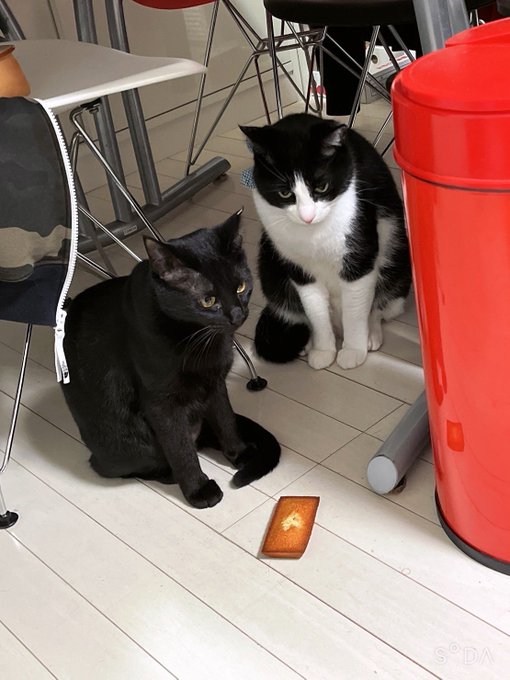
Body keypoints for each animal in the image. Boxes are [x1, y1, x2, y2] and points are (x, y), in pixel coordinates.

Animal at [61, 212, 280, 509]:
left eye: (241, 287)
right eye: (208, 300)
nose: (237, 315)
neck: (197, 340)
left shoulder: (215, 383)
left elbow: (226, 419)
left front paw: (239, 454)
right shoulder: (161, 403)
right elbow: (179, 447)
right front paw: (199, 490)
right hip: (128, 444)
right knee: (128, 466)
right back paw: (166, 474)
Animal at [240, 112, 411, 370]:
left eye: (321, 187)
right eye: (284, 193)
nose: (307, 216)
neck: (315, 236)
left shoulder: (359, 258)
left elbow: (355, 311)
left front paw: (353, 350)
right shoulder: (300, 271)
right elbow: (315, 312)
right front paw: (322, 351)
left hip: (397, 256)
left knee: (379, 306)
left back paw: (370, 334)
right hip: (269, 265)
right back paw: (308, 343)